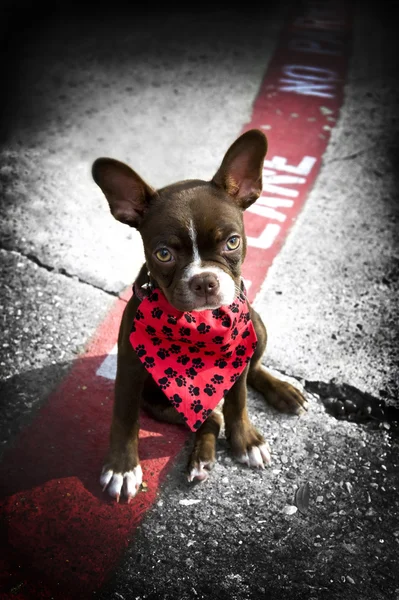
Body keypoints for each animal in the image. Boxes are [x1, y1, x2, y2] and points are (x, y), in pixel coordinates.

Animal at [92, 130, 308, 502]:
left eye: (233, 242)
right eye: (163, 254)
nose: (205, 280)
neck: (198, 325)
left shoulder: (238, 355)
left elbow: (239, 401)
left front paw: (246, 441)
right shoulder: (131, 368)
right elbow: (124, 418)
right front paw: (121, 469)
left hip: (257, 326)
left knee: (251, 374)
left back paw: (283, 391)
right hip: (160, 401)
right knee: (210, 418)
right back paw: (201, 460)